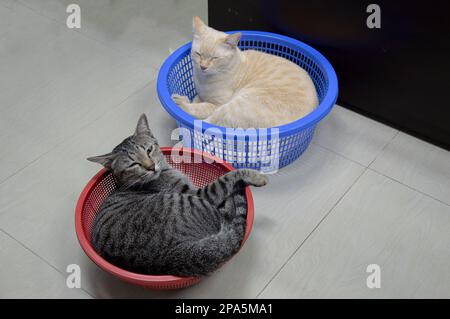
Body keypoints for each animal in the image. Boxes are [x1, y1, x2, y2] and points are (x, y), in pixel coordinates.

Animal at [87, 115, 268, 278]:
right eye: (133, 164)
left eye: (149, 150)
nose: (151, 167)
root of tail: (168, 256)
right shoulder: (199, 192)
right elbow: (228, 177)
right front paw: (255, 176)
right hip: (196, 202)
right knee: (228, 212)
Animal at [171, 16, 316, 129]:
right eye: (198, 54)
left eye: (214, 58)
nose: (203, 67)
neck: (203, 79)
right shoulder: (200, 95)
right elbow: (196, 99)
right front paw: (189, 99)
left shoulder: (217, 104)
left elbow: (200, 108)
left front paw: (183, 102)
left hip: (235, 105)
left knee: (206, 123)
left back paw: (178, 101)